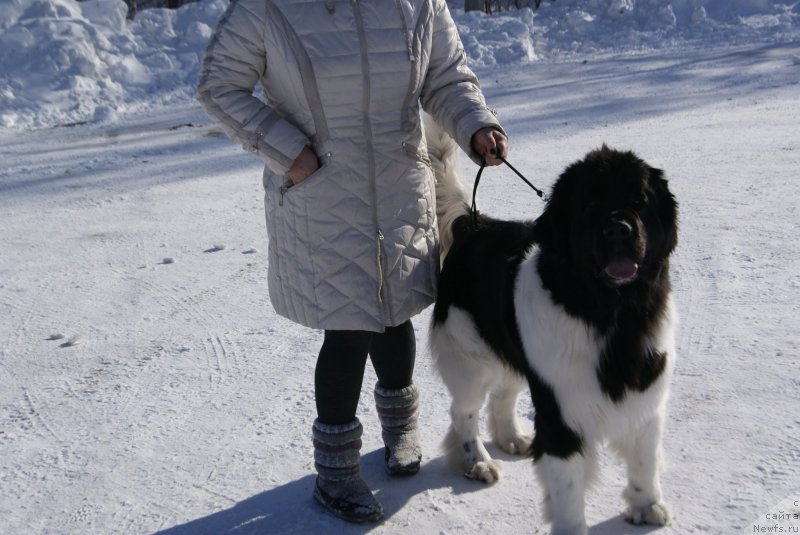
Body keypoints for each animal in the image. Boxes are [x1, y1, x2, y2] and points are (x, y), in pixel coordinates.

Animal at [428, 120, 680, 535]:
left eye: (640, 199)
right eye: (590, 205)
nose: (619, 229)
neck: (608, 313)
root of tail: (474, 226)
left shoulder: (646, 393)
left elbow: (646, 457)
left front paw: (647, 506)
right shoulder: (559, 410)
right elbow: (567, 487)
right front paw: (573, 527)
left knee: (503, 395)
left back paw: (512, 438)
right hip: (470, 358)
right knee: (463, 411)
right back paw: (477, 462)